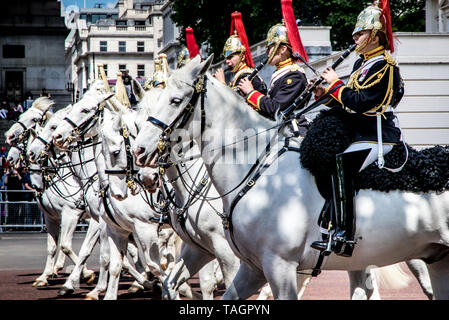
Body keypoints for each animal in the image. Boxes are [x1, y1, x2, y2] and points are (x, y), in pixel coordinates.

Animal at [131, 55, 446, 300]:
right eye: (135, 118)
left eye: (175, 100)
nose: (139, 153)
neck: (256, 171)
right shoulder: (245, 265)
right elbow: (178, 283)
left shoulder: (273, 265)